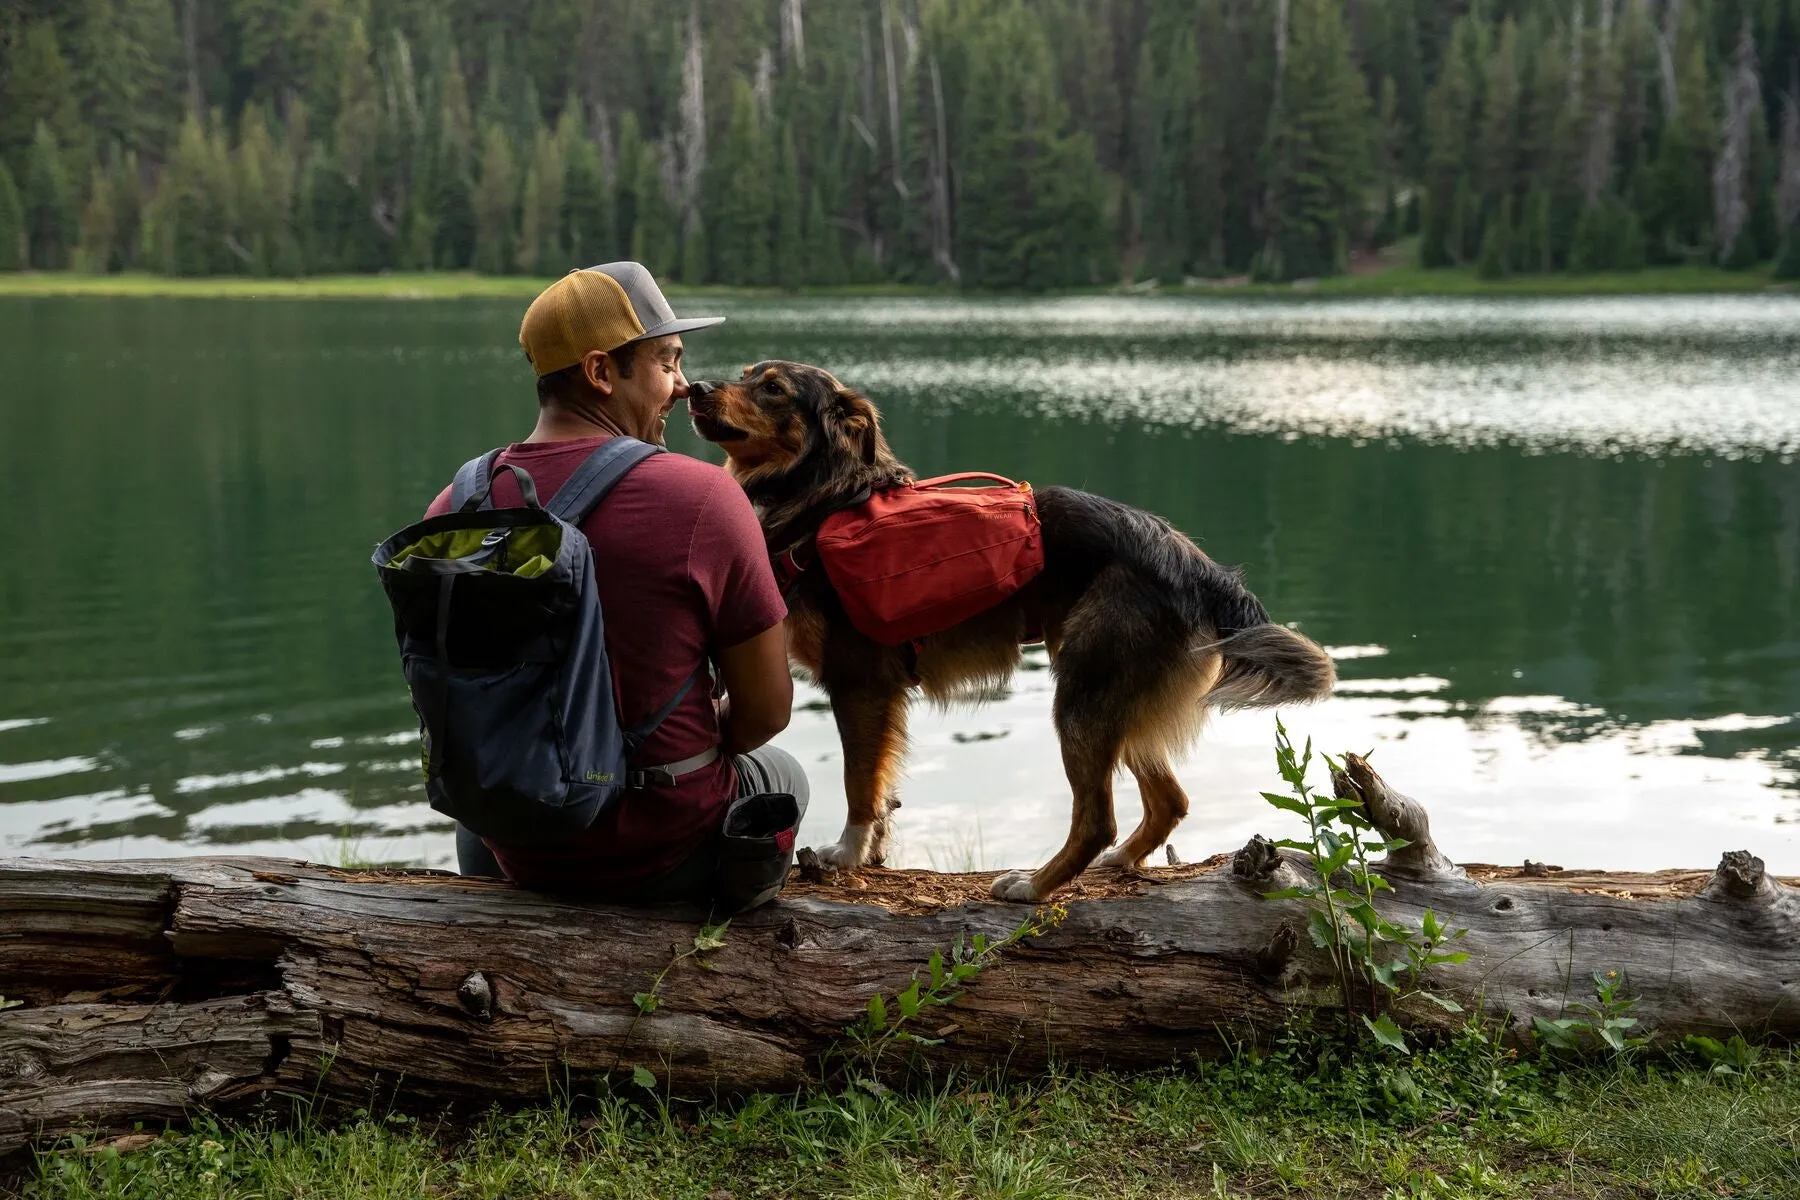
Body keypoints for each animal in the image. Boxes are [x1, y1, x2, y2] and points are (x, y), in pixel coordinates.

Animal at [687, 363, 1339, 899]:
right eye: (745, 375)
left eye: (773, 387)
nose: (695, 387)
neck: (823, 502)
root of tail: (1198, 566)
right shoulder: (882, 696)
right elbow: (882, 786)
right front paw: (871, 854)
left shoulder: (860, 684)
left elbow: (859, 785)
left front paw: (845, 855)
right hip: (1120, 700)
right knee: (1169, 801)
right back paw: (1119, 865)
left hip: (1082, 694)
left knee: (1098, 818)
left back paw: (1036, 886)